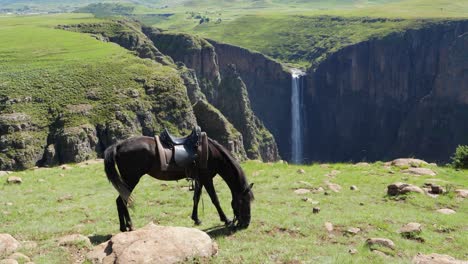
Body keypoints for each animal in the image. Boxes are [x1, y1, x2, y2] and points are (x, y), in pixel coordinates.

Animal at [103, 135, 254, 232]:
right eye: (243, 202)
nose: (246, 224)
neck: (211, 152)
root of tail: (119, 145)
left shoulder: (199, 179)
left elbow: (196, 198)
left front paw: (196, 219)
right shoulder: (206, 178)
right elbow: (214, 199)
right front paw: (226, 220)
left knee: (120, 201)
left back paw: (124, 227)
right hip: (131, 179)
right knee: (122, 200)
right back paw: (129, 225)